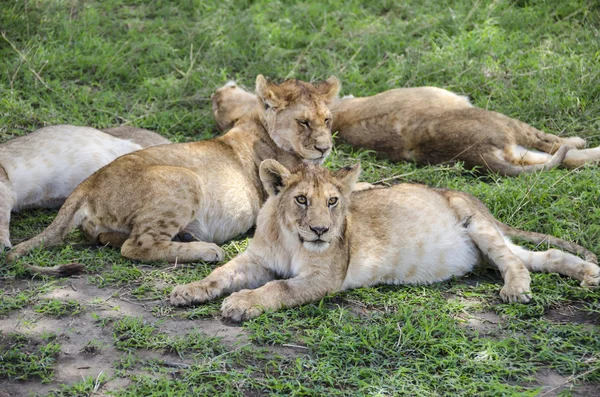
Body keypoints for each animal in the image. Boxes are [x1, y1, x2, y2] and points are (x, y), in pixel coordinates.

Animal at [170, 159, 600, 320]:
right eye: (301, 200)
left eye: (333, 201)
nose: (321, 230)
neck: (292, 240)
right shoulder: (257, 259)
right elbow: (223, 272)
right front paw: (188, 290)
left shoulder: (324, 279)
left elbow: (278, 288)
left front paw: (240, 303)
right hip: (486, 250)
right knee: (545, 256)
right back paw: (590, 275)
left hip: (474, 220)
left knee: (513, 262)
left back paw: (516, 290)